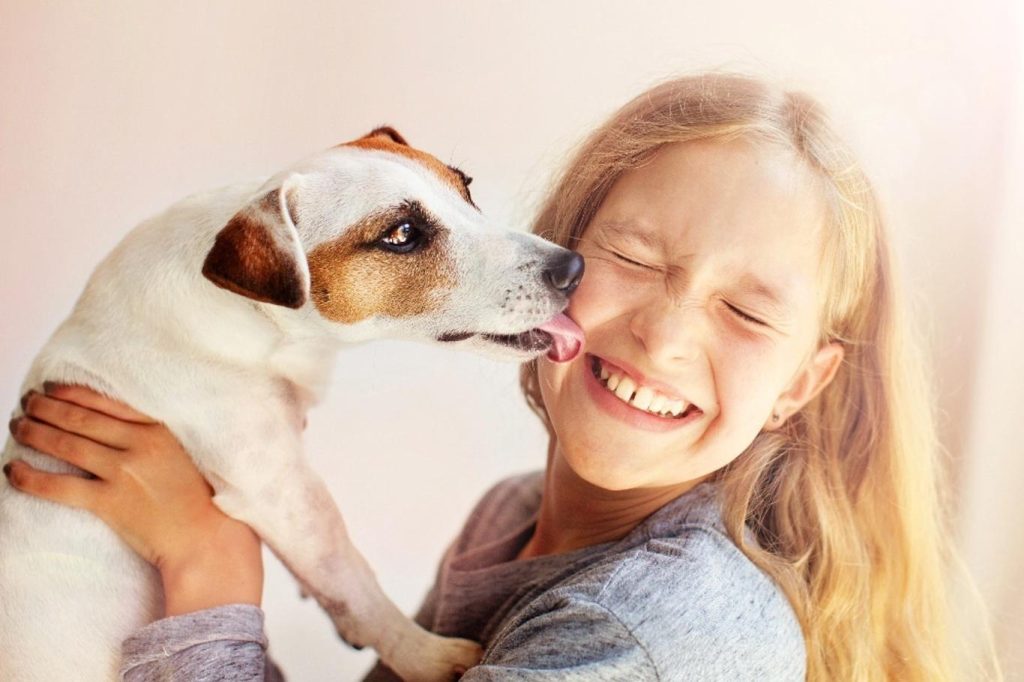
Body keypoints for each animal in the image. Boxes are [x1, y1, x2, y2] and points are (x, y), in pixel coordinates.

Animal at [0, 127, 585, 681]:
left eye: (466, 189)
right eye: (401, 235)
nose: (572, 268)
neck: (255, 320)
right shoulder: (281, 492)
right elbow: (350, 577)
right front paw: (423, 655)